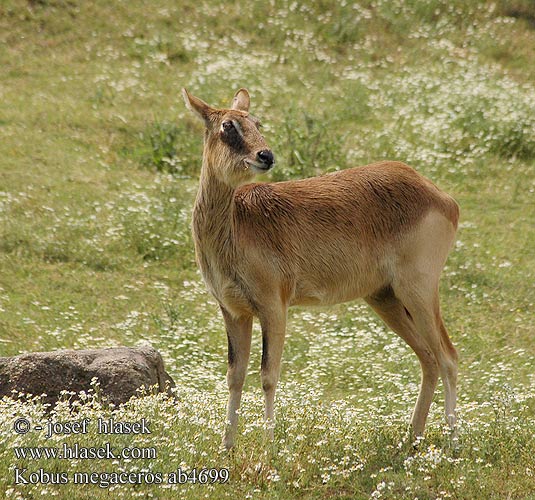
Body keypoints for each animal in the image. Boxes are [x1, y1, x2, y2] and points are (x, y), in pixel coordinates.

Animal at [182, 87, 458, 450]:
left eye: (256, 122)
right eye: (228, 125)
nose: (265, 156)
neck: (238, 226)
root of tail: (441, 197)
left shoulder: (274, 308)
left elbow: (268, 375)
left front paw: (269, 448)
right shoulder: (234, 311)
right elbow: (234, 376)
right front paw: (226, 447)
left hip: (419, 293)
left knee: (448, 357)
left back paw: (454, 445)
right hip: (385, 298)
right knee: (428, 358)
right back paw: (411, 439)